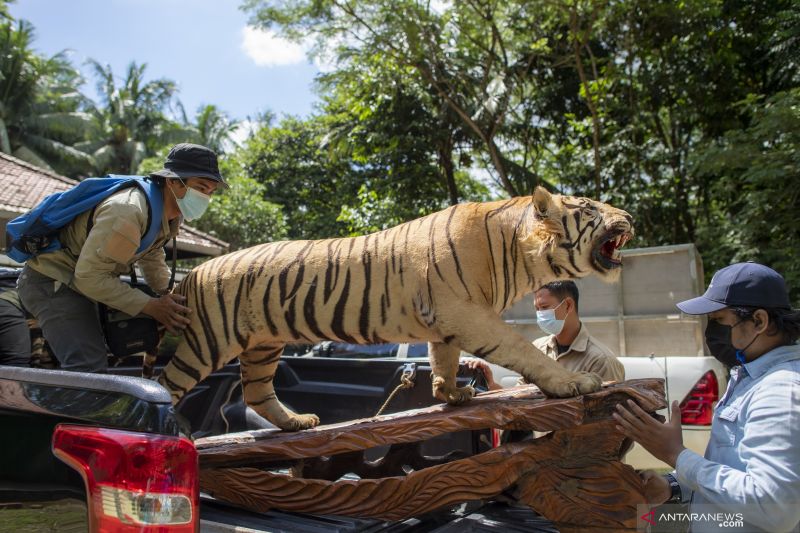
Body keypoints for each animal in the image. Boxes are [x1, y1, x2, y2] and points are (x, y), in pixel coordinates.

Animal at [156, 186, 632, 428]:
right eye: (590, 208)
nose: (627, 215)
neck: (519, 254)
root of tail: (194, 272)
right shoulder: (469, 313)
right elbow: (521, 348)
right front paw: (572, 382)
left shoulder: (448, 321)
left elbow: (443, 359)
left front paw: (451, 393)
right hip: (208, 341)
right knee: (166, 382)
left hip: (262, 345)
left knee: (256, 393)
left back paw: (296, 422)